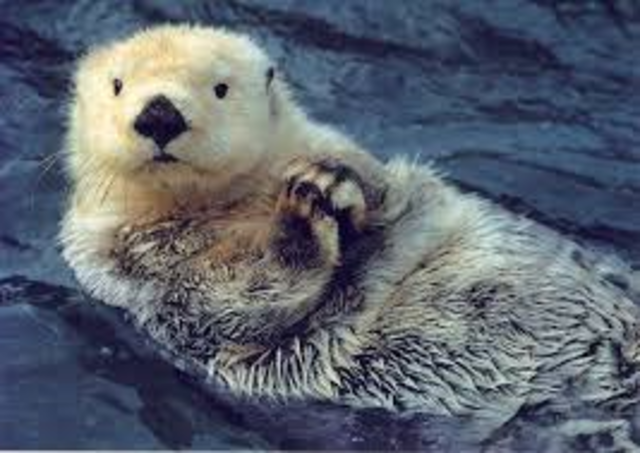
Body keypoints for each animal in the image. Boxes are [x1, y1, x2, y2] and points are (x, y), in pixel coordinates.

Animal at [60, 25, 640, 433]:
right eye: (118, 85)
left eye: (220, 88)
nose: (159, 114)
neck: (228, 206)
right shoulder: (131, 267)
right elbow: (232, 302)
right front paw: (300, 214)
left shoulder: (343, 154)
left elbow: (383, 190)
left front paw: (332, 183)